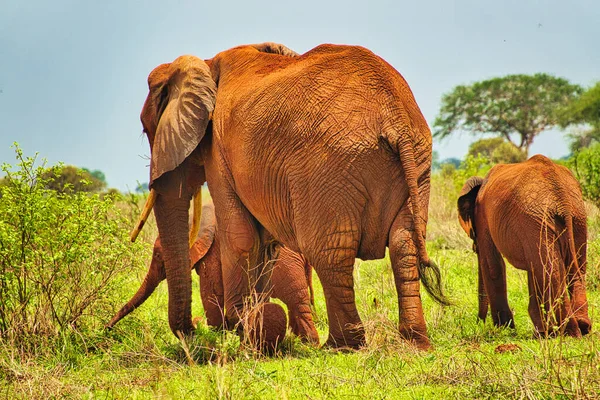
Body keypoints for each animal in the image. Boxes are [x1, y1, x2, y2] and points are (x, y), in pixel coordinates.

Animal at [136, 41, 446, 350]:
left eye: (146, 129)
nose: (190, 331)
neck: (206, 64)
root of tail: (395, 118)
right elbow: (265, 243)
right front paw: (252, 322)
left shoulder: (218, 149)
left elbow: (239, 235)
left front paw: (246, 320)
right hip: (418, 161)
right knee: (403, 243)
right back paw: (415, 342)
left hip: (328, 166)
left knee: (330, 253)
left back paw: (341, 346)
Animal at [460, 155, 592, 336]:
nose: (479, 322)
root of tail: (561, 195)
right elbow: (533, 269)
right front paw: (542, 332)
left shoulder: (483, 216)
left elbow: (493, 266)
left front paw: (505, 329)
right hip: (576, 217)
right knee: (572, 268)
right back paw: (582, 327)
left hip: (539, 219)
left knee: (552, 270)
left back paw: (569, 332)